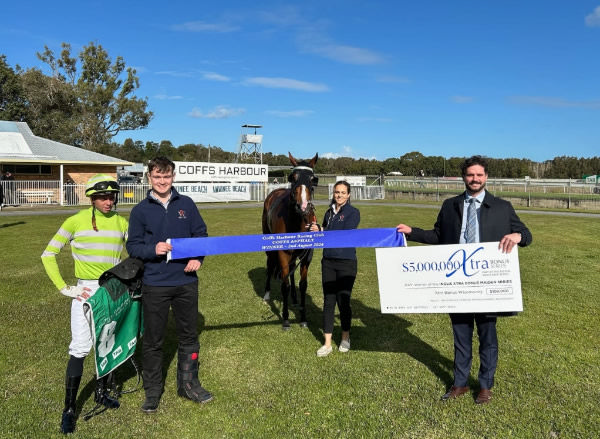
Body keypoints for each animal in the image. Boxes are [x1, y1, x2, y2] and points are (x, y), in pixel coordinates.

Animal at [262, 152, 318, 330]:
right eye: (293, 177)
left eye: (313, 179)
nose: (303, 206)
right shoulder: (282, 253)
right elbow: (284, 284)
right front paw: (286, 319)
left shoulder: (307, 255)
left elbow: (303, 285)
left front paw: (303, 318)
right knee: (270, 265)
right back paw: (266, 294)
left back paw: (294, 297)